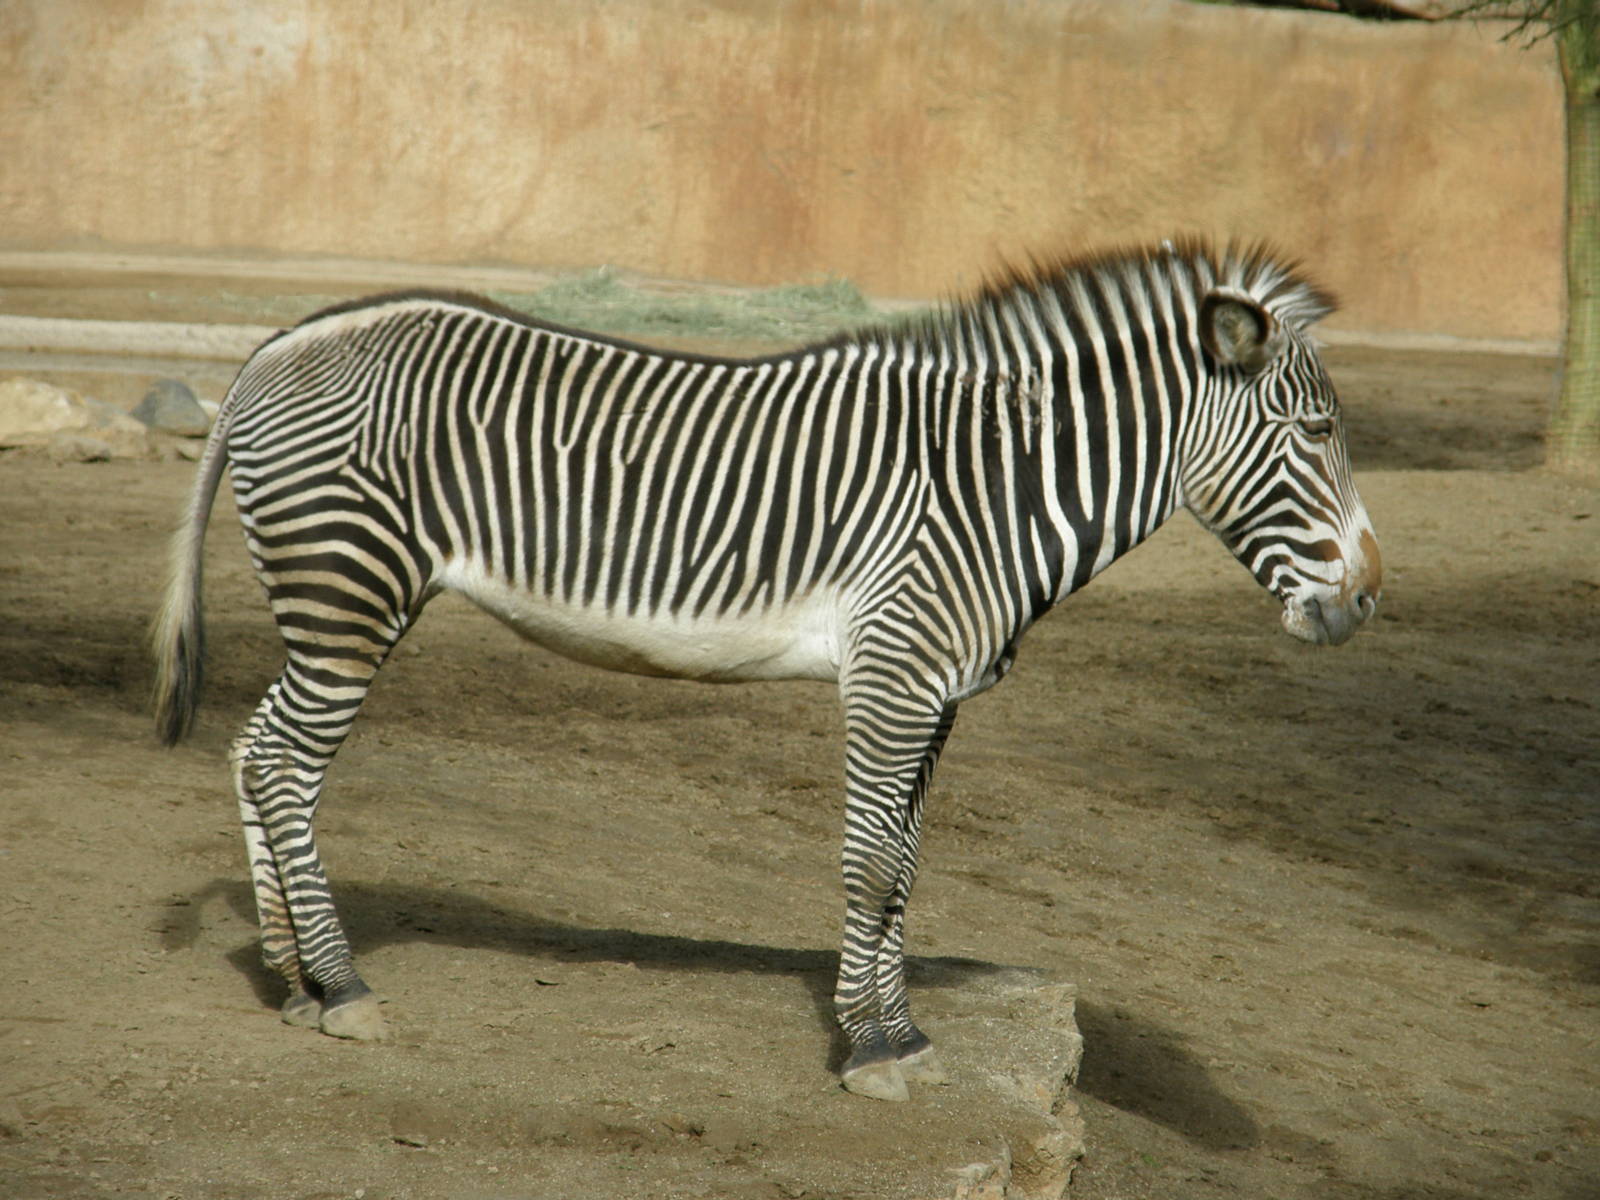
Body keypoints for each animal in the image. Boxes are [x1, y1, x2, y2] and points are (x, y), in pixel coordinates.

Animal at [152, 239, 1381, 1103]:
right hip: (347, 590)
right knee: (287, 769)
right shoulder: (893, 676)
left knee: (256, 752)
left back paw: (294, 982)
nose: (1369, 600)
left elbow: (906, 868)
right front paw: (871, 1051)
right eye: (1316, 432)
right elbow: (871, 868)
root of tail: (278, 342)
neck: (994, 485)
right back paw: (345, 986)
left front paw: (904, 1034)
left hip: (342, 601)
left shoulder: (933, 695)